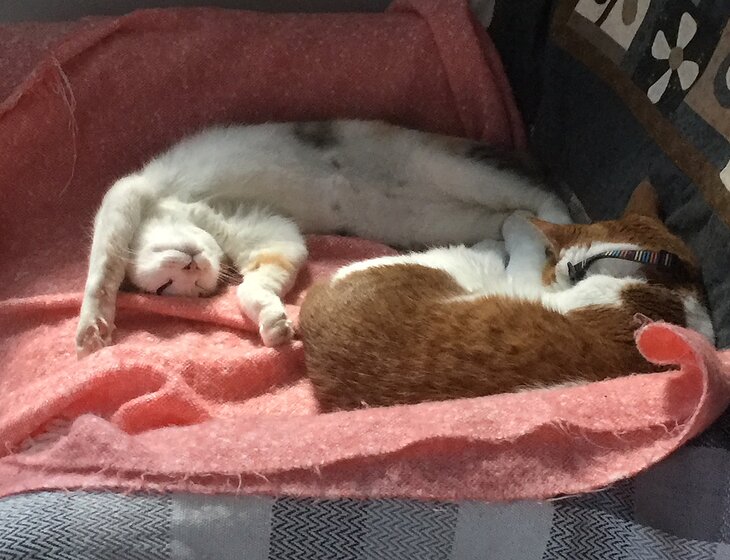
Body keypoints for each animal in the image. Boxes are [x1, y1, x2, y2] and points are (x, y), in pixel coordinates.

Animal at [77, 119, 571, 357]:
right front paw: (272, 322)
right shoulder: (276, 235)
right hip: (435, 220)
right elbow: (258, 283)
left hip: (452, 169)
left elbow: (105, 259)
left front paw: (93, 321)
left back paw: (566, 235)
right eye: (175, 289)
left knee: (543, 197)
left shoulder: (133, 190)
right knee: (515, 218)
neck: (206, 217)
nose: (193, 267)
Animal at [299, 182, 715, 412]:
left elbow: (523, 237)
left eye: (554, 269)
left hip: (457, 263)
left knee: (486, 251)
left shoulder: (526, 281)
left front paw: (516, 221)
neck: (660, 291)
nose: (552, 276)